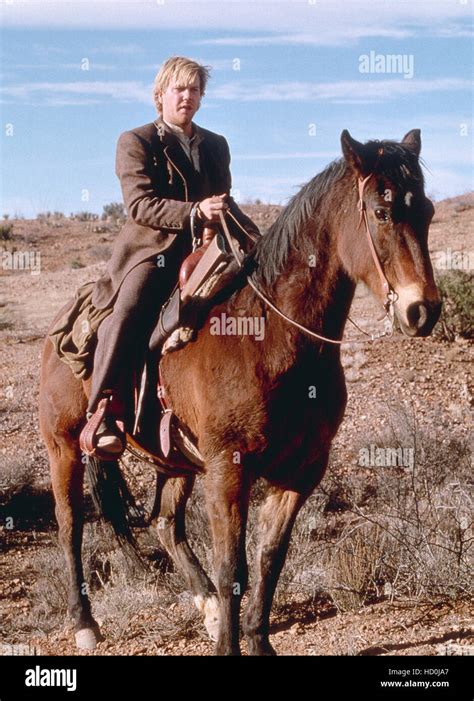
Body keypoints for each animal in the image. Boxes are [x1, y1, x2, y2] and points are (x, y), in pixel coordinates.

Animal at [39, 130, 440, 656]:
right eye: (381, 211)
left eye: (428, 211)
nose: (423, 311)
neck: (271, 338)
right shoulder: (229, 468)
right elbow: (234, 566)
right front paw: (231, 643)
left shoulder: (301, 470)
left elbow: (270, 557)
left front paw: (257, 640)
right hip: (64, 446)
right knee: (70, 526)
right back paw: (85, 623)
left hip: (175, 460)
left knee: (166, 524)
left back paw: (207, 608)